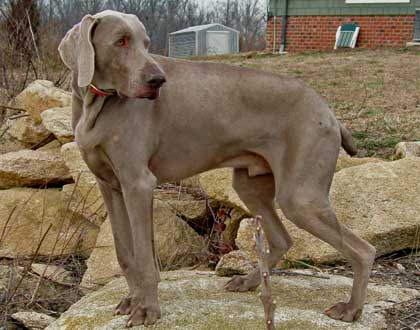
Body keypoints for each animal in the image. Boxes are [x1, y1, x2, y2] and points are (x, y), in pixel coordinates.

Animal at [60, 9, 378, 328]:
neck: (97, 104)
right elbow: (124, 252)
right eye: (121, 41)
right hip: (251, 186)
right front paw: (131, 300)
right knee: (282, 239)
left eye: (146, 43)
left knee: (364, 250)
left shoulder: (138, 183)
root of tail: (329, 111)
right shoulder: (110, 185)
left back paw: (351, 308)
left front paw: (147, 309)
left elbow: (145, 257)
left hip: (300, 197)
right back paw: (248, 281)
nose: (158, 80)